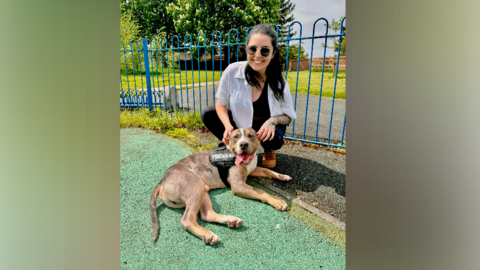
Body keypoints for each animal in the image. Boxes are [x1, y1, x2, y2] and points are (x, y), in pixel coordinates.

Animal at [150, 127, 292, 246]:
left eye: (250, 136)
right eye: (235, 137)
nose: (243, 144)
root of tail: (162, 181)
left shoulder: (252, 170)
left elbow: (267, 171)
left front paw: (283, 176)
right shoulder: (238, 185)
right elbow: (261, 191)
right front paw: (277, 201)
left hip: (202, 190)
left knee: (206, 215)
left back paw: (231, 220)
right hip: (194, 186)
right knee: (187, 220)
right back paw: (208, 235)